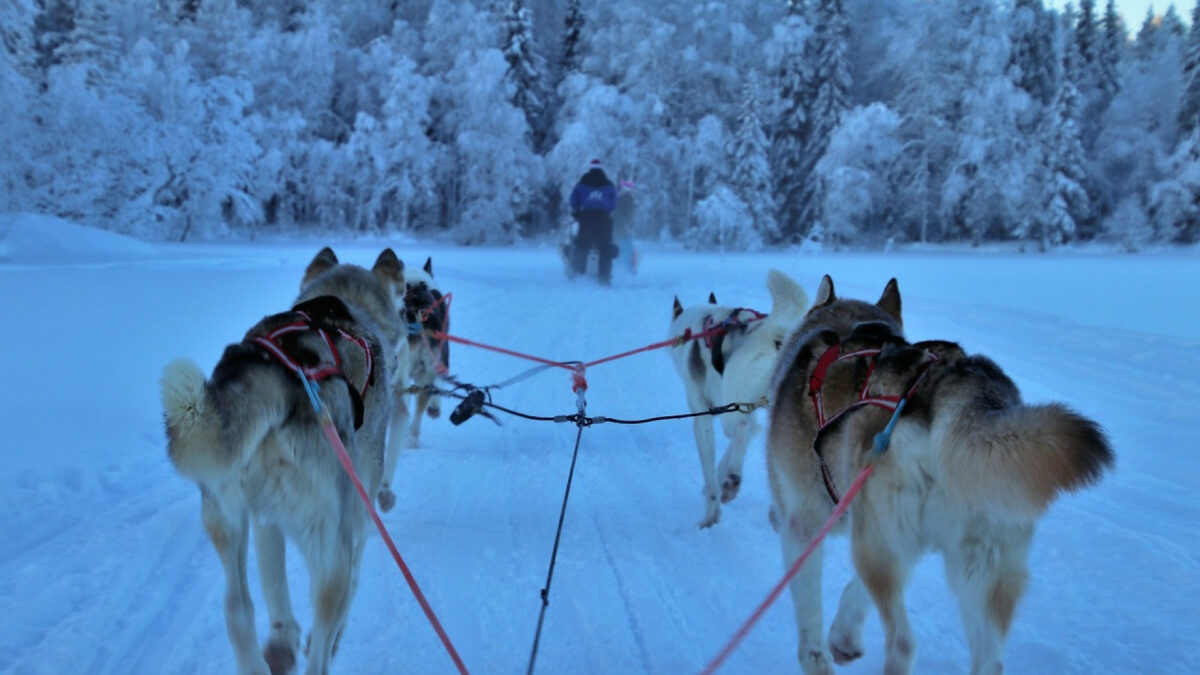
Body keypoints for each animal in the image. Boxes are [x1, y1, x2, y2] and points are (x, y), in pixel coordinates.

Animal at [159, 247, 405, 672]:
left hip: (225, 515)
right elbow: (352, 584)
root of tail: (279, 375)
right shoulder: (358, 516)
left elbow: (273, 583)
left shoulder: (264, 520)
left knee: (237, 610)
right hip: (330, 542)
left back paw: (266, 653)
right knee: (322, 636)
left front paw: (281, 639)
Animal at [667, 267, 806, 526]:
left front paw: (711, 511)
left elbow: (712, 468)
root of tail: (775, 333)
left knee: (742, 428)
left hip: (734, 403)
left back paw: (732, 481)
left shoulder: (705, 415)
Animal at [763, 273, 1108, 672]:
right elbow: (856, 591)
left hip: (878, 544)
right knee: (990, 660)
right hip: (974, 566)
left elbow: (810, 625)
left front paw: (821, 651)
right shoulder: (892, 539)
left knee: (903, 643)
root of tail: (950, 388)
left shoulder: (805, 528)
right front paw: (844, 634)